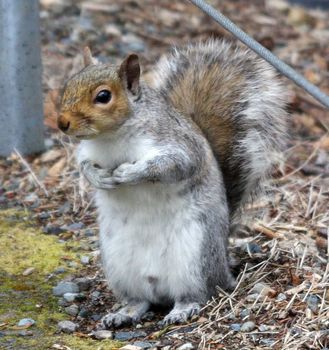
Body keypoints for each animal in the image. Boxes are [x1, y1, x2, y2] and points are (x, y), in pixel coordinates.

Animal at [57, 39, 286, 326]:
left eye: (103, 96)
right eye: (67, 85)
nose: (61, 122)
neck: (111, 138)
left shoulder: (178, 143)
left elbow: (174, 165)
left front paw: (130, 173)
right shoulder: (87, 152)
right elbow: (84, 166)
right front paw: (99, 177)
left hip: (195, 258)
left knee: (198, 293)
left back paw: (182, 309)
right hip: (118, 266)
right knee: (140, 301)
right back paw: (123, 313)